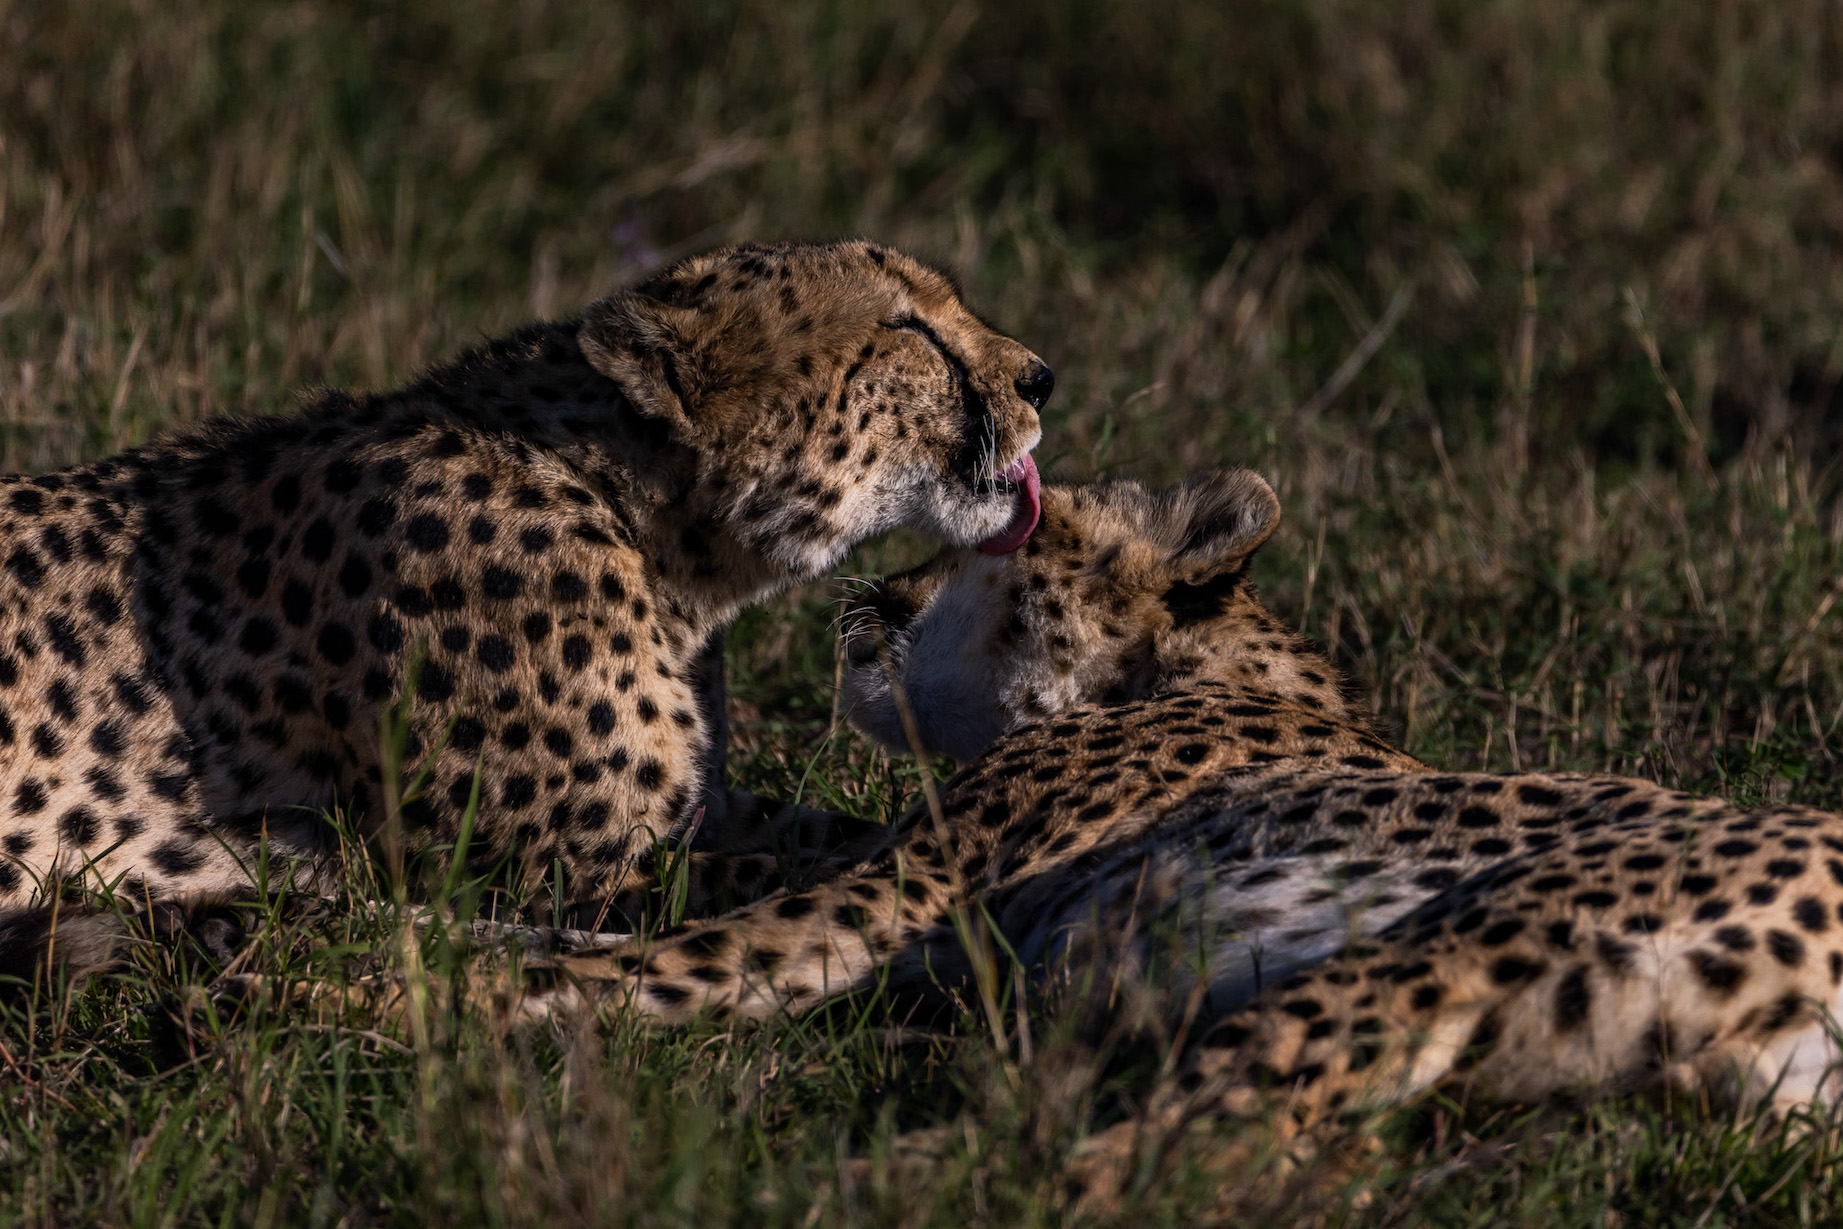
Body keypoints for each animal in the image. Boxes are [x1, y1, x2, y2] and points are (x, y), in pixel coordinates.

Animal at [0, 237, 1054, 972]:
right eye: (907, 330)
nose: (1042, 377)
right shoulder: (579, 871)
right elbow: (818, 873)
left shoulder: (696, 814)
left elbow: (845, 831)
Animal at [545, 475, 1843, 1157]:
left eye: (1003, 529)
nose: (872, 588)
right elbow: (682, 874)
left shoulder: (902, 890)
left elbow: (667, 956)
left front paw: (491, 987)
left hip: (1451, 939)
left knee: (1188, 1139)